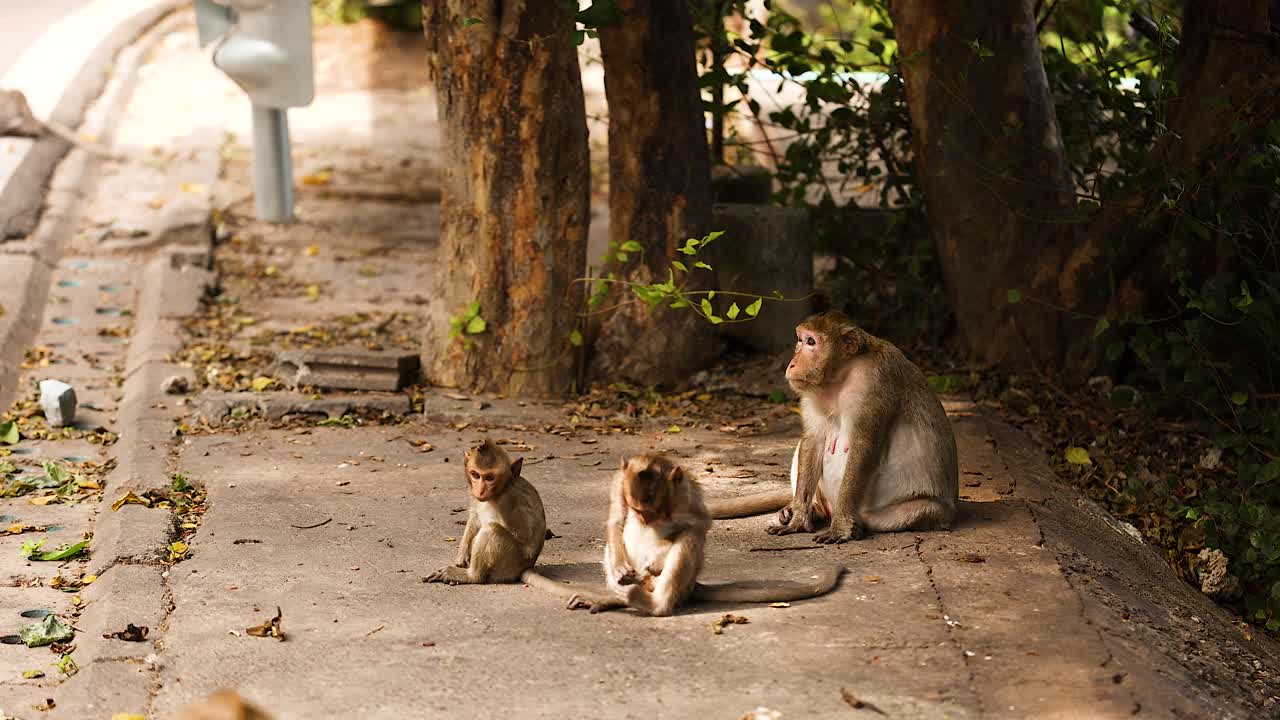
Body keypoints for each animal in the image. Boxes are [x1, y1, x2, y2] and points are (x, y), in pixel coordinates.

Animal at [424, 439, 587, 601]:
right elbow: (475, 516)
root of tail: (526, 566)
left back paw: (472, 576)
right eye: (475, 475)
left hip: (511, 561)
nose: (480, 490)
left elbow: (521, 533)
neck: (498, 492)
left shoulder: (508, 500)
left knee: (491, 530)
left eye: (490, 478)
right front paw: (462, 555)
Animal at [567, 453, 844, 616]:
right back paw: (617, 596)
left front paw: (654, 561)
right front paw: (620, 569)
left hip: (681, 584)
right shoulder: (619, 482)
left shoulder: (685, 491)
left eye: (652, 509)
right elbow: (615, 519)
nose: (645, 519)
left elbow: (699, 524)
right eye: (637, 509)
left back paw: (652, 604)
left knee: (686, 543)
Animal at [763, 310, 958, 543]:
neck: (842, 375)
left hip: (935, 512)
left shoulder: (875, 380)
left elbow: (864, 446)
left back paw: (856, 525)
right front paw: (798, 520)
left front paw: (840, 527)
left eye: (811, 342)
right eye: (800, 340)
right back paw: (811, 510)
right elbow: (813, 441)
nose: (792, 364)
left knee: (922, 508)